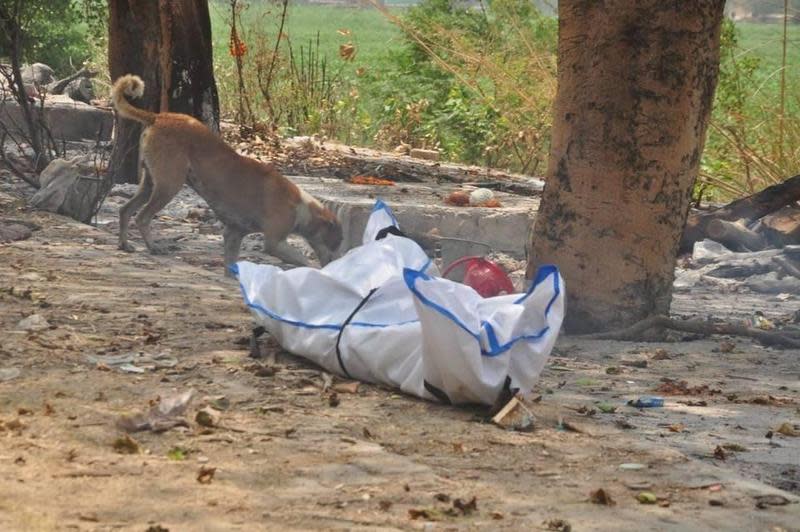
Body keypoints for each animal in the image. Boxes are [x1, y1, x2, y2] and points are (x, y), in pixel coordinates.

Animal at [109, 75, 340, 274]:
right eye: (337, 243)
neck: (302, 205)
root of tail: (158, 117)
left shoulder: (234, 232)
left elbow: (231, 260)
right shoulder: (275, 242)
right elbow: (303, 260)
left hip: (150, 182)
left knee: (125, 209)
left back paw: (124, 244)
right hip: (169, 184)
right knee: (142, 217)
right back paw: (153, 247)